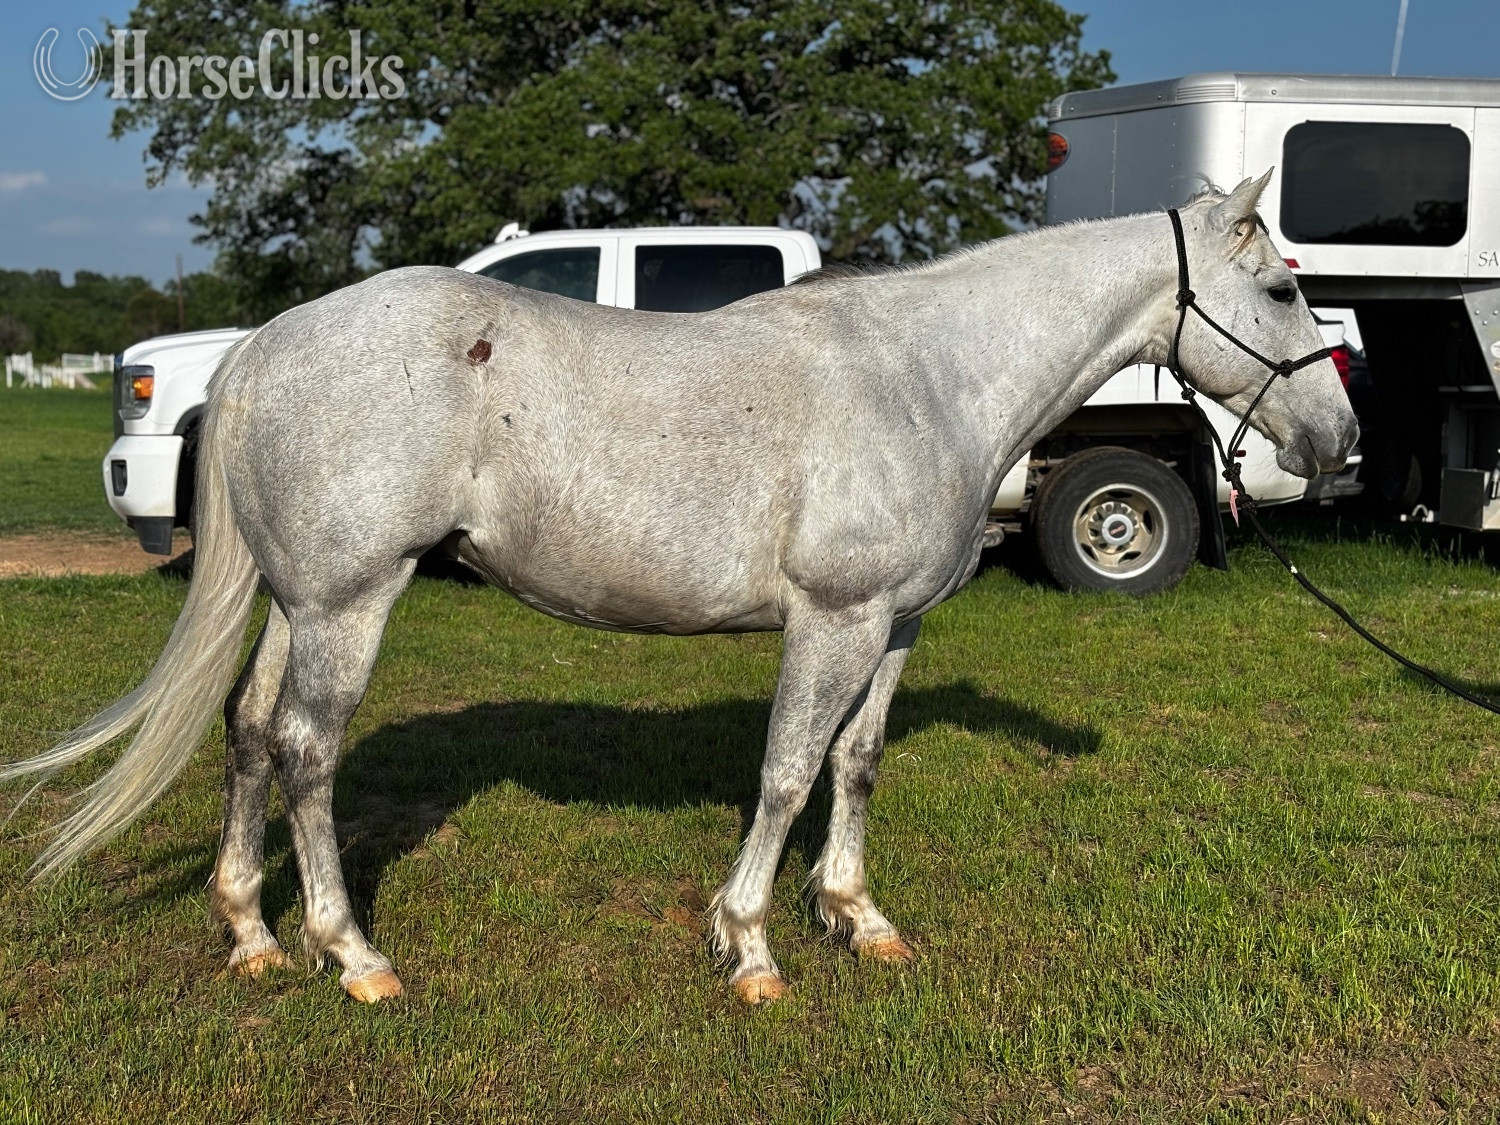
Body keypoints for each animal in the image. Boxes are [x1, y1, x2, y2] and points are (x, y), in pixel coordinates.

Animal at [2, 170, 1356, 1005]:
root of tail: (265, 343)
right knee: (305, 752)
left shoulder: (896, 625)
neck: (926, 375)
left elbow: (857, 766)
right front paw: (750, 946)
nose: (1338, 435)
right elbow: (787, 773)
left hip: (297, 603)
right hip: (349, 603)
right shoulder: (833, 620)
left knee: (244, 734)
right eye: (1284, 288)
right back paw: (354, 953)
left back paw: (252, 937)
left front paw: (856, 919)